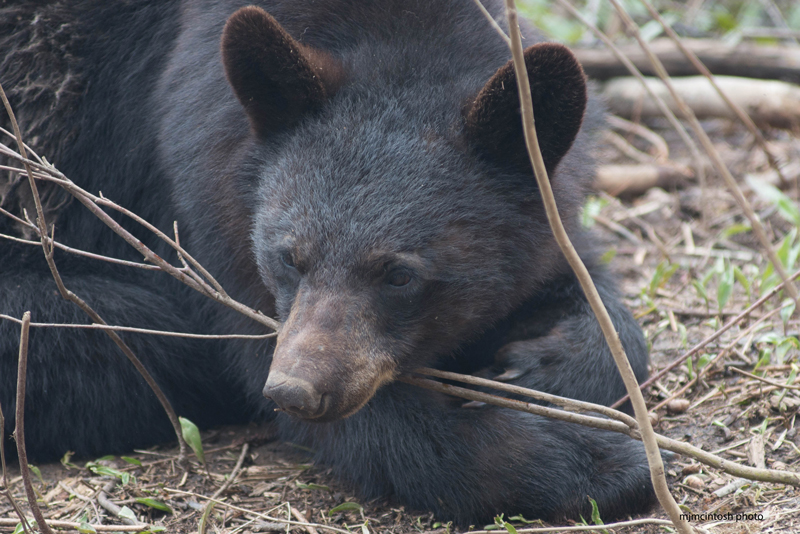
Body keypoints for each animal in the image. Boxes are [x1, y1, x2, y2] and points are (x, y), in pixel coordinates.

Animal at [3, 0, 652, 528]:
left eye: (399, 274)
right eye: (289, 257)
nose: (295, 389)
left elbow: (586, 289)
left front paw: (547, 364)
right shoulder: (204, 208)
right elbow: (372, 430)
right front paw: (597, 463)